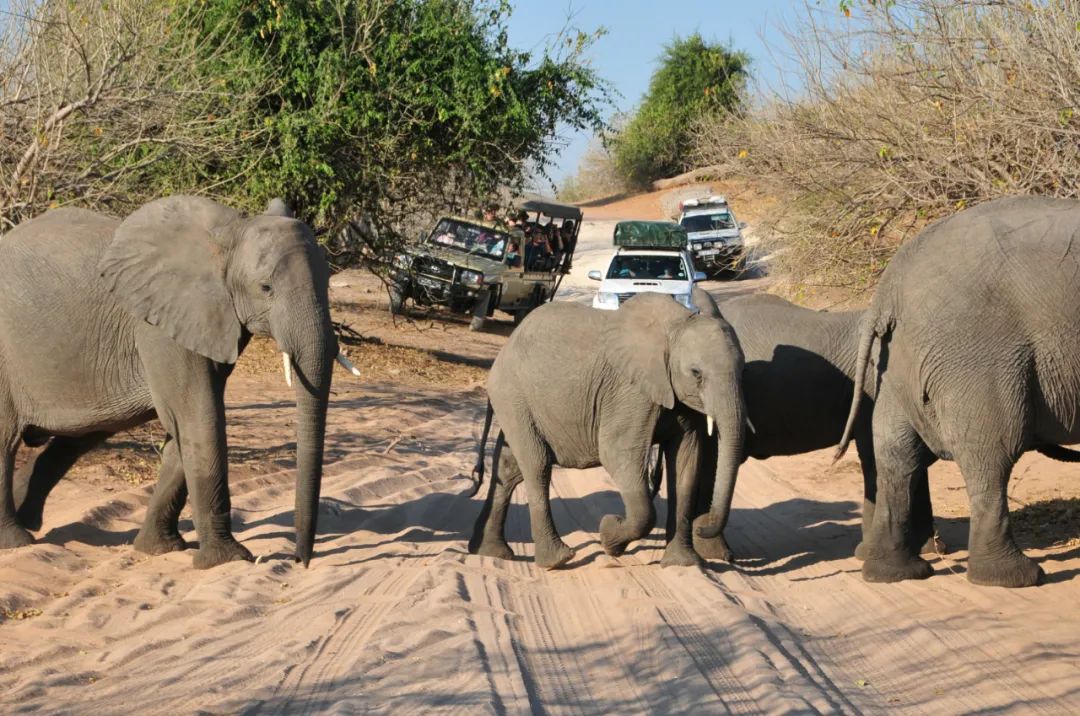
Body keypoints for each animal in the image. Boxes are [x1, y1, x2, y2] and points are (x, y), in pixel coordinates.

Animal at [468, 293, 747, 570]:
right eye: (696, 373)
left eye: (743, 368)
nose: (703, 529)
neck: (676, 326)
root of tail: (505, 348)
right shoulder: (629, 391)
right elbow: (617, 454)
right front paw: (609, 536)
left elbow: (686, 464)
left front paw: (683, 564)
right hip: (513, 395)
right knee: (537, 465)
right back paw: (557, 560)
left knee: (509, 467)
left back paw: (492, 552)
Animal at [838, 193, 1080, 587]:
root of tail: (888, 290)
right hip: (977, 357)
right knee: (993, 452)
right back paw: (1013, 577)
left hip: (898, 360)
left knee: (896, 453)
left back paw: (894, 573)